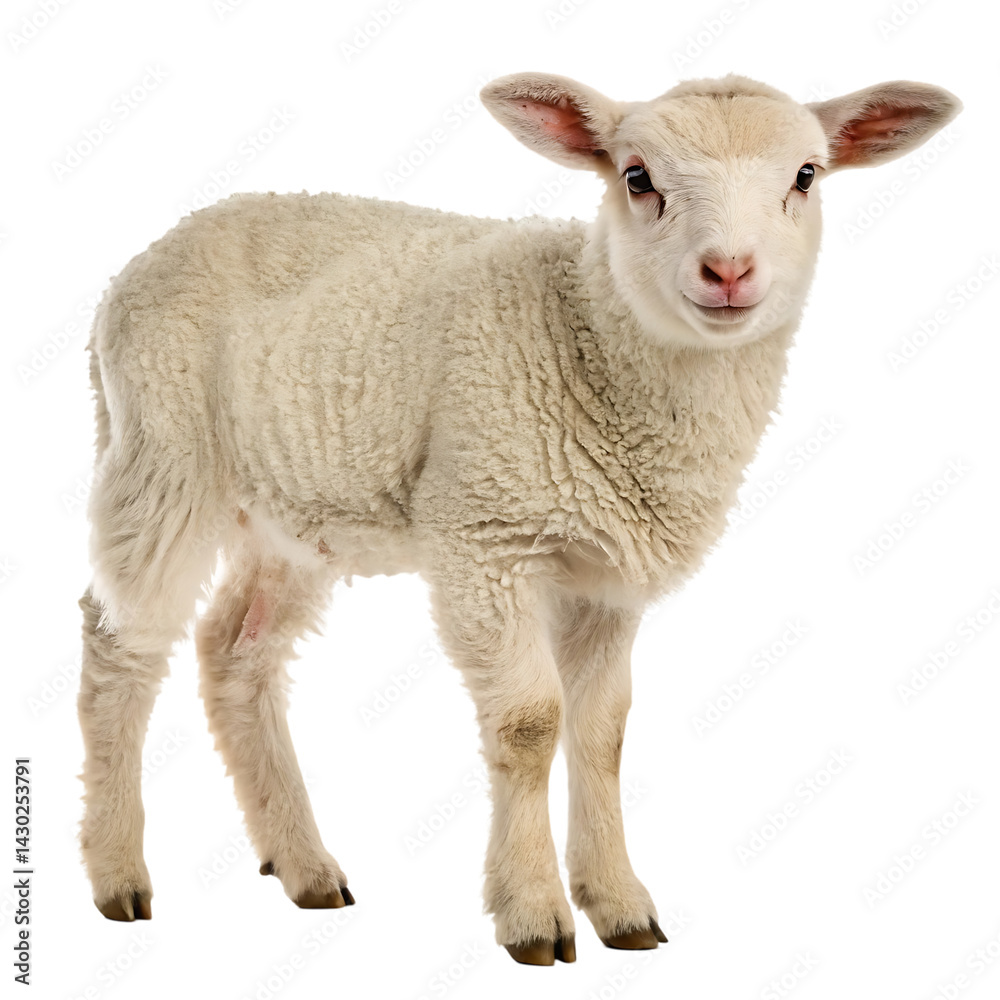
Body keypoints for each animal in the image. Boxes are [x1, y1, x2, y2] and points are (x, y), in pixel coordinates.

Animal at [77, 70, 961, 965]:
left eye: (806, 177)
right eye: (637, 177)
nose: (728, 270)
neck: (587, 336)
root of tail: (148, 256)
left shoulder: (609, 577)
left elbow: (603, 733)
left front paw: (621, 905)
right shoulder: (483, 538)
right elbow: (532, 724)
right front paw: (534, 914)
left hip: (295, 508)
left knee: (237, 651)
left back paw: (304, 866)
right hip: (162, 454)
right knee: (118, 644)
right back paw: (118, 874)